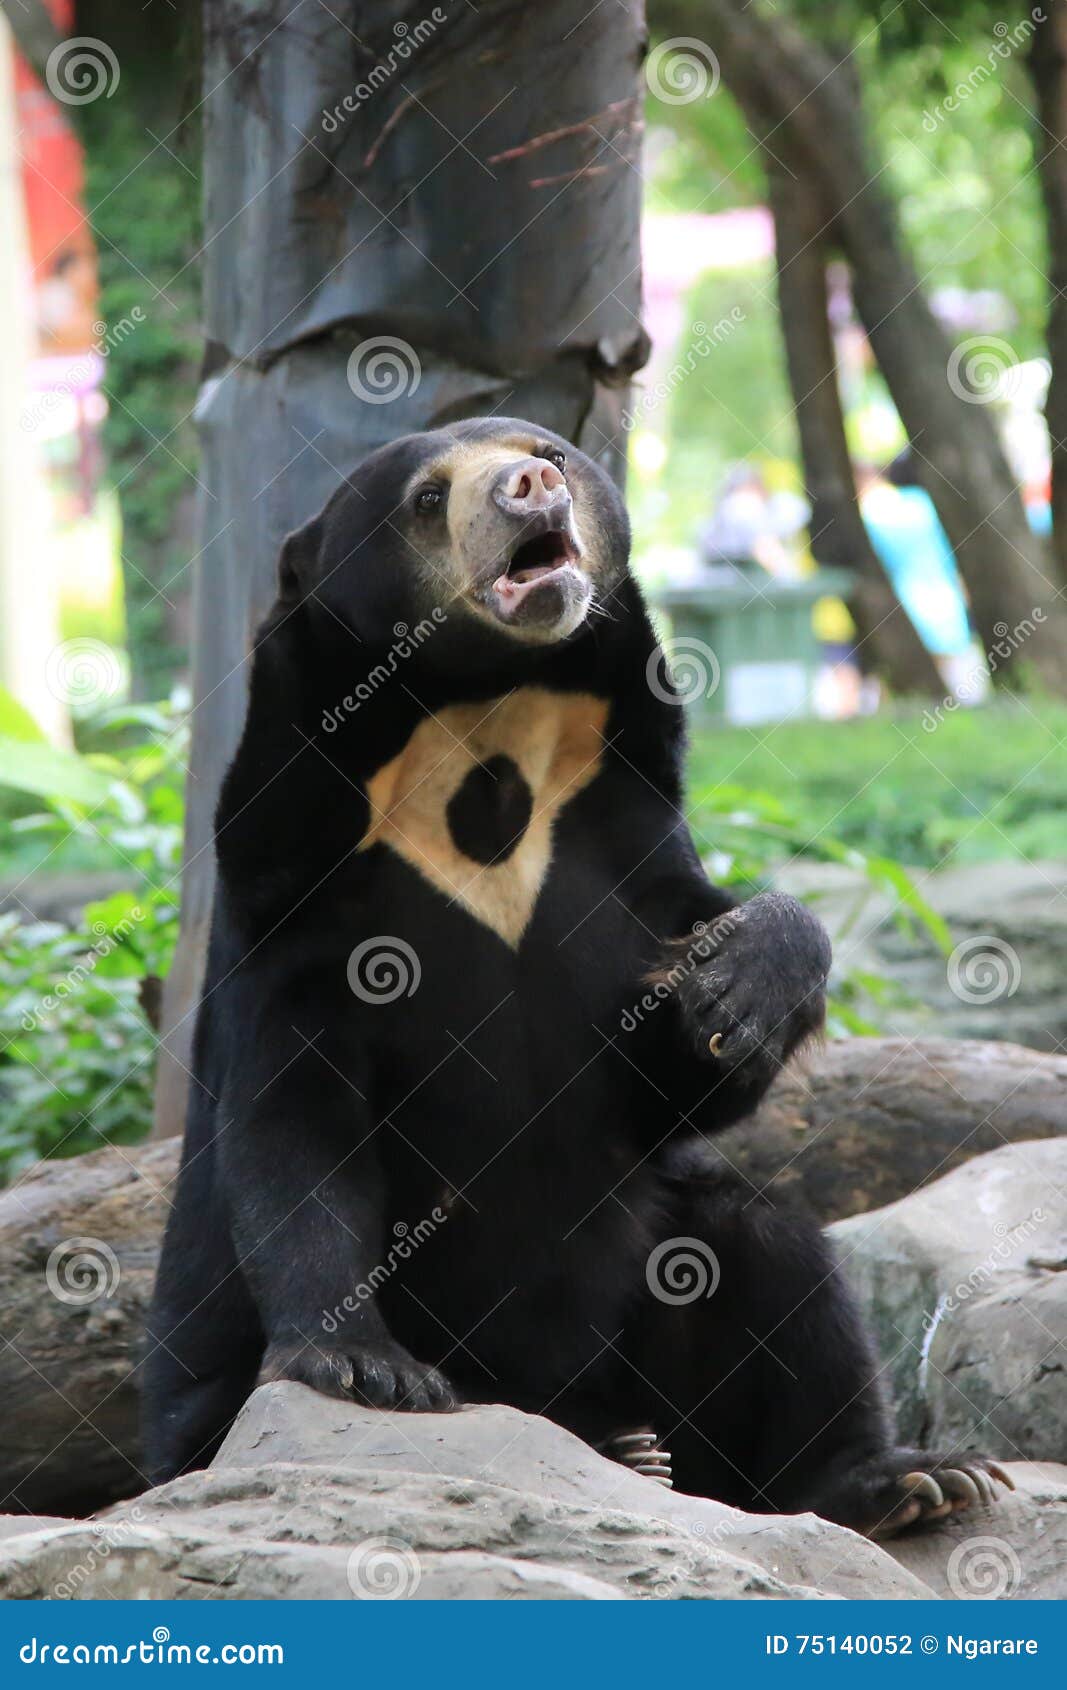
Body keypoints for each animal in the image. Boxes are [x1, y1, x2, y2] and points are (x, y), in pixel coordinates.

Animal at [144, 416, 1010, 1537]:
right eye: (427, 498)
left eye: (548, 450)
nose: (527, 486)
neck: (480, 725)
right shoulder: (295, 890)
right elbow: (294, 1123)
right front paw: (366, 1367)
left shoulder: (617, 832)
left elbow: (677, 1049)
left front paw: (736, 990)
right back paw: (622, 1451)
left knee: (773, 1251)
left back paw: (896, 1479)